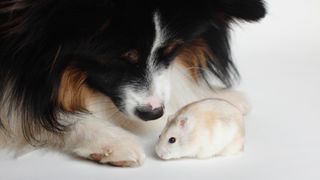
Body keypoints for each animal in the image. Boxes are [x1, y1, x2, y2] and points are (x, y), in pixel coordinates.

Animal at [0, 0, 264, 167]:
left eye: (172, 49)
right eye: (120, 57)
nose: (153, 113)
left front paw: (214, 96)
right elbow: (29, 112)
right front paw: (110, 138)